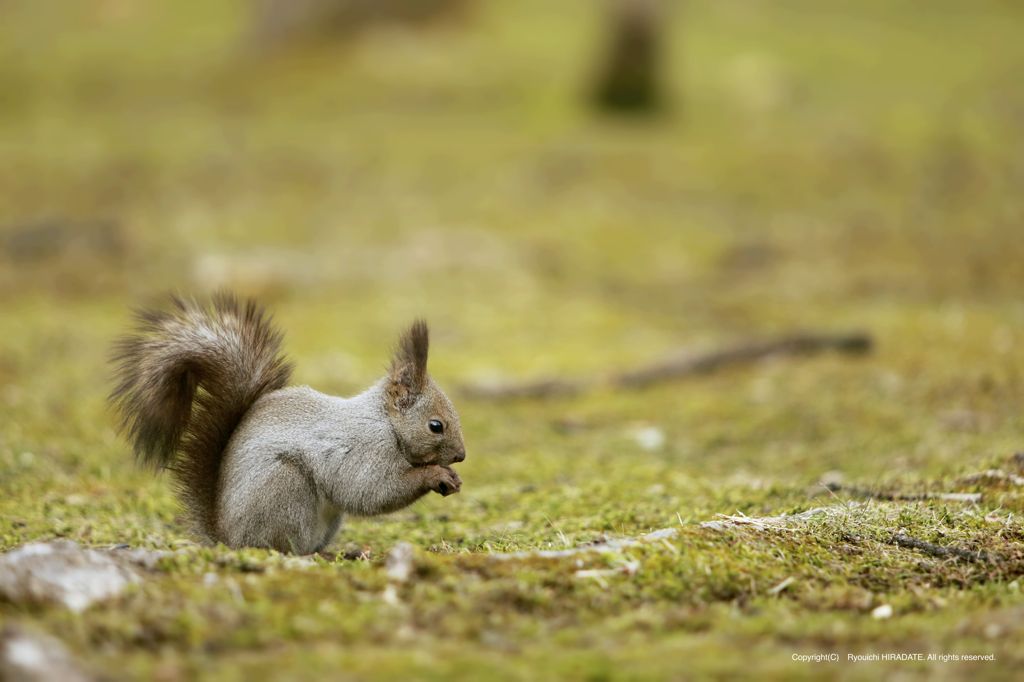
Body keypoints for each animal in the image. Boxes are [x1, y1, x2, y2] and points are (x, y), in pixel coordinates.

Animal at [108, 290, 464, 552]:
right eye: (436, 425)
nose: (461, 456)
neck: (385, 421)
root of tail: (228, 538)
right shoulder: (365, 448)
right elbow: (370, 490)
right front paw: (436, 475)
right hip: (285, 490)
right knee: (281, 546)